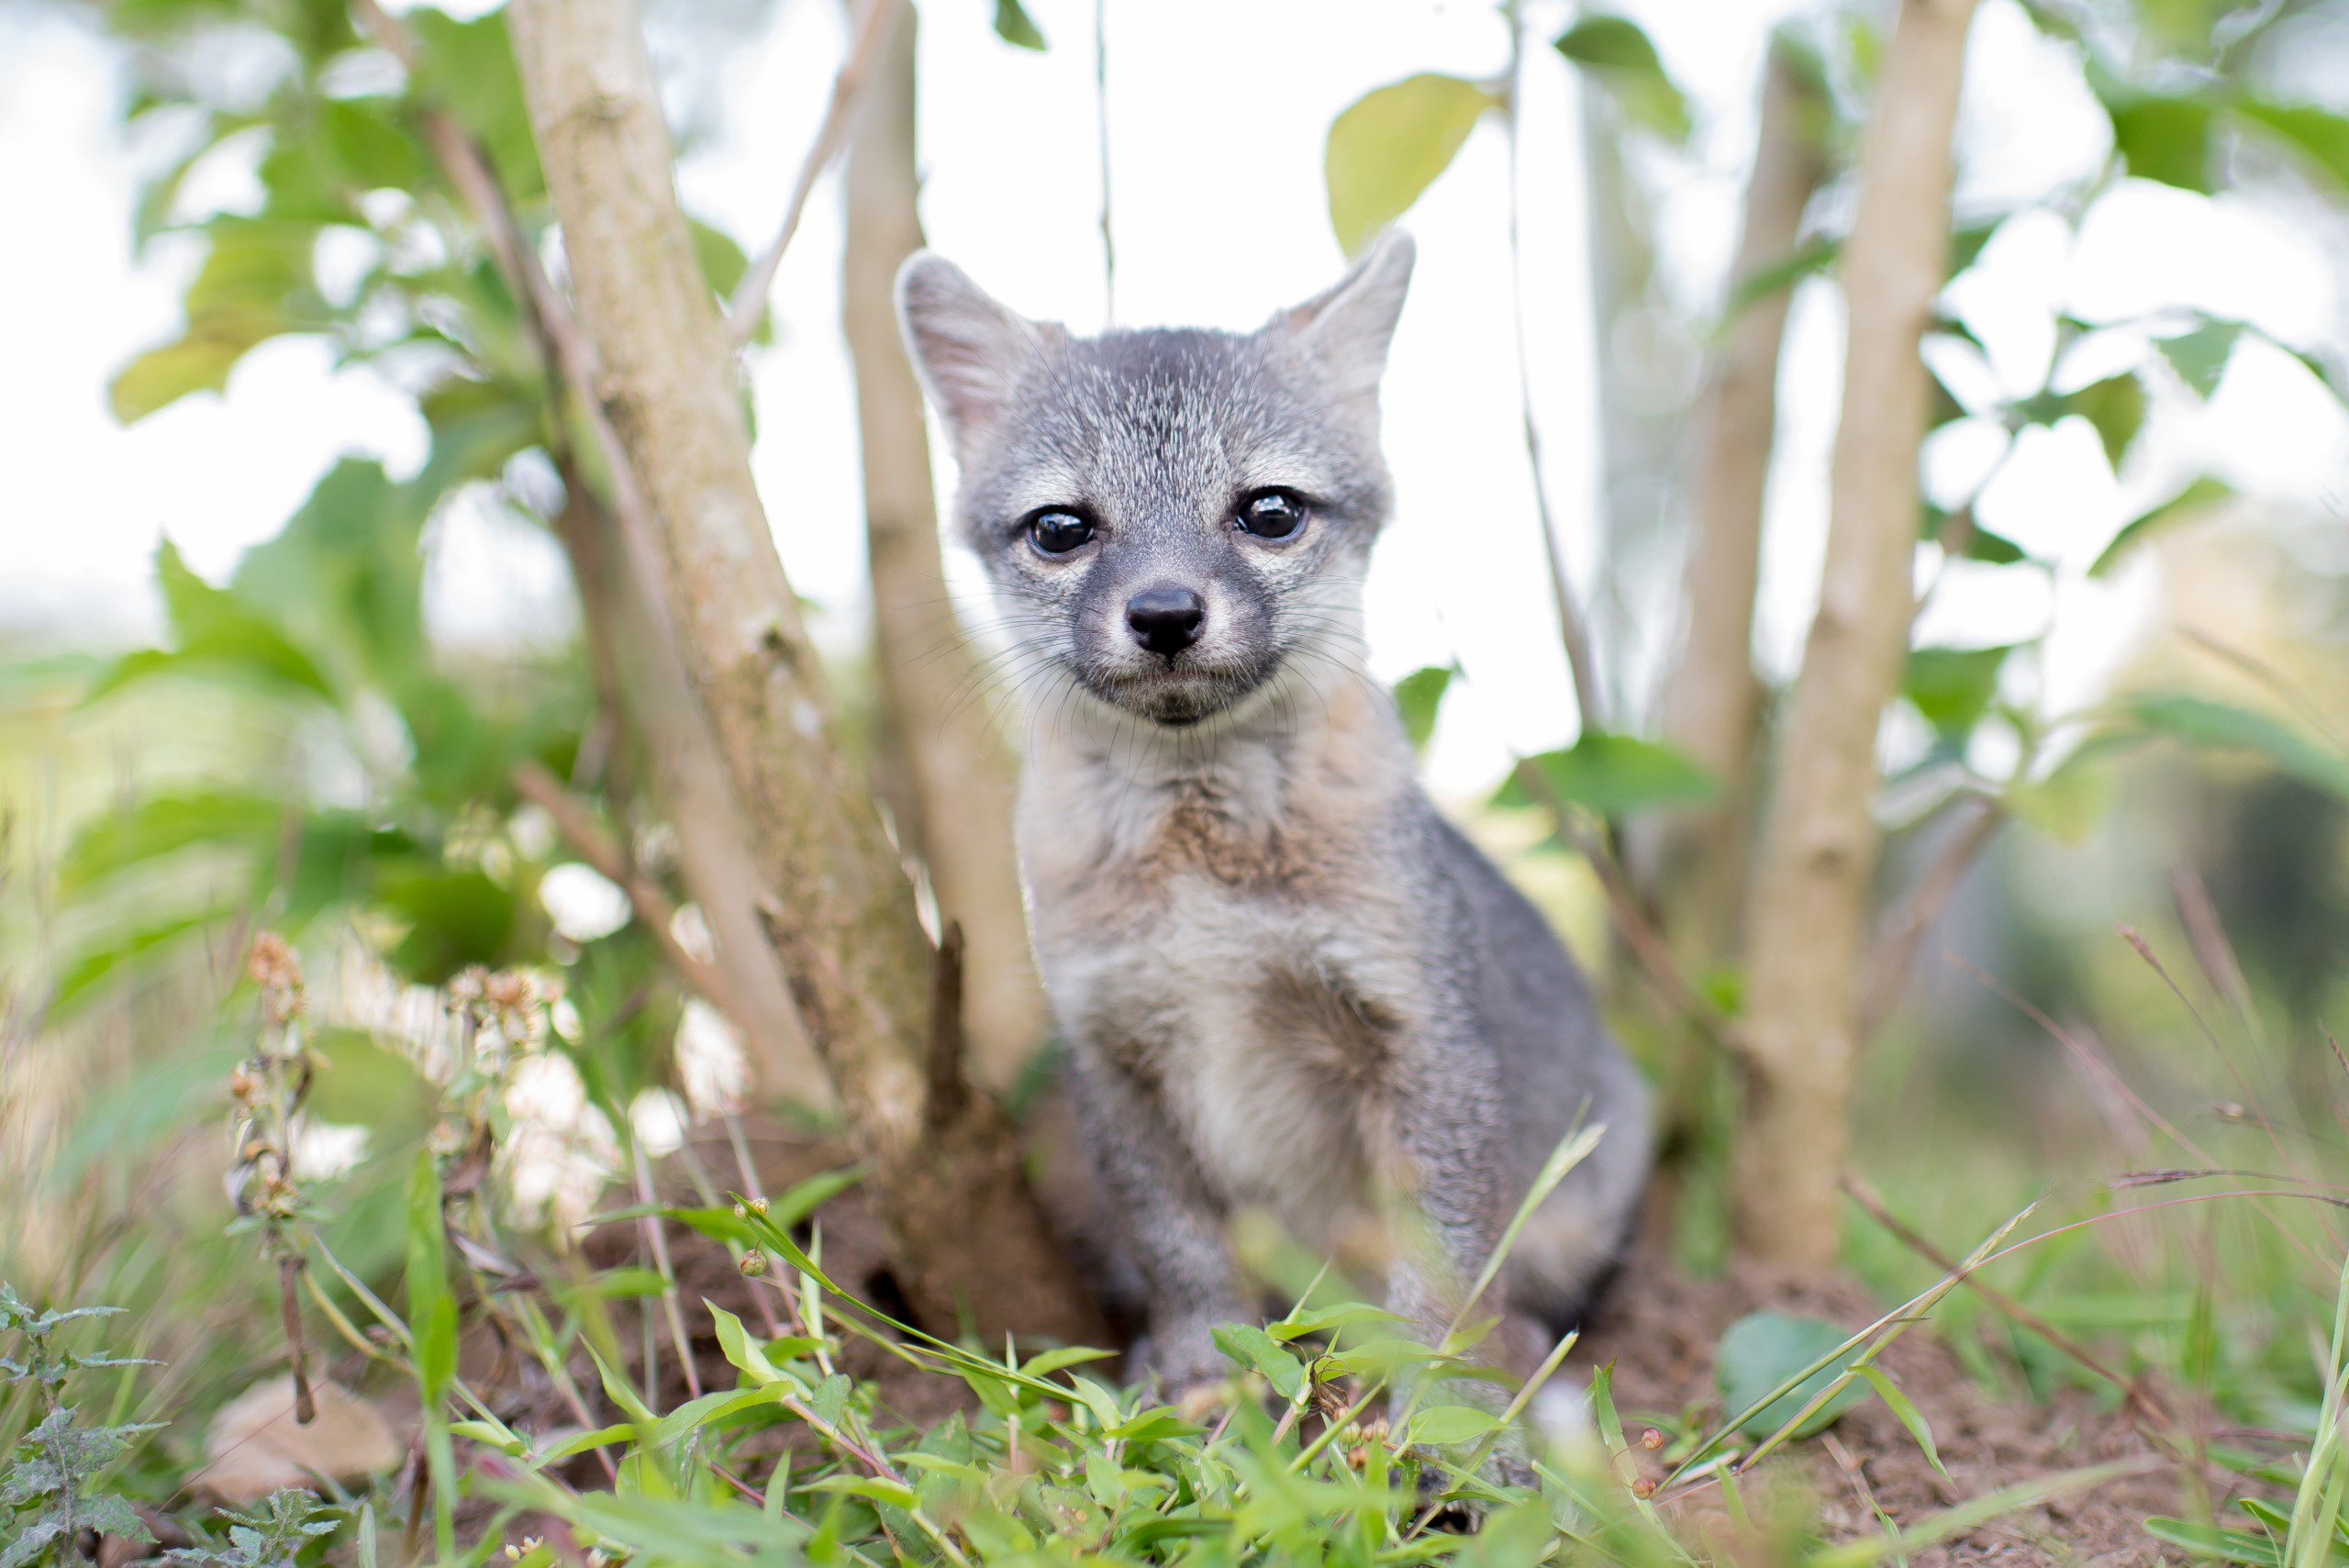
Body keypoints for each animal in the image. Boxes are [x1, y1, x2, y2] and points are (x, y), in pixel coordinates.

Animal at [895, 232, 1651, 1485]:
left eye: (1269, 511)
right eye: (1061, 528)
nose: (1164, 613)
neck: (1203, 869)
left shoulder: (1415, 1033)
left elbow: (1441, 1269)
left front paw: (1453, 1417)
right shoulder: (1115, 1054)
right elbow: (1183, 1250)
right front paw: (1203, 1381)